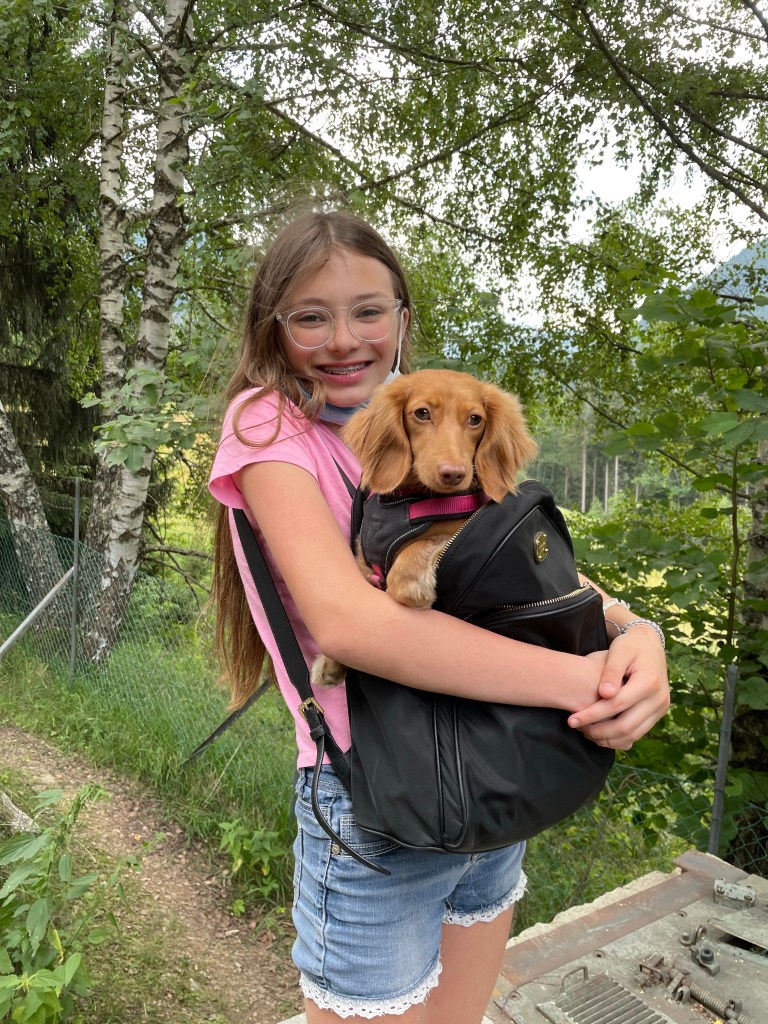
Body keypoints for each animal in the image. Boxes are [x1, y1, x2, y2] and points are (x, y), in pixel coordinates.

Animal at [312, 369, 537, 687]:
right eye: (422, 413)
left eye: (475, 419)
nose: (453, 474)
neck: (410, 500)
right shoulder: (363, 559)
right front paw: (329, 662)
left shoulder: (455, 532)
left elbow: (417, 552)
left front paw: (415, 590)